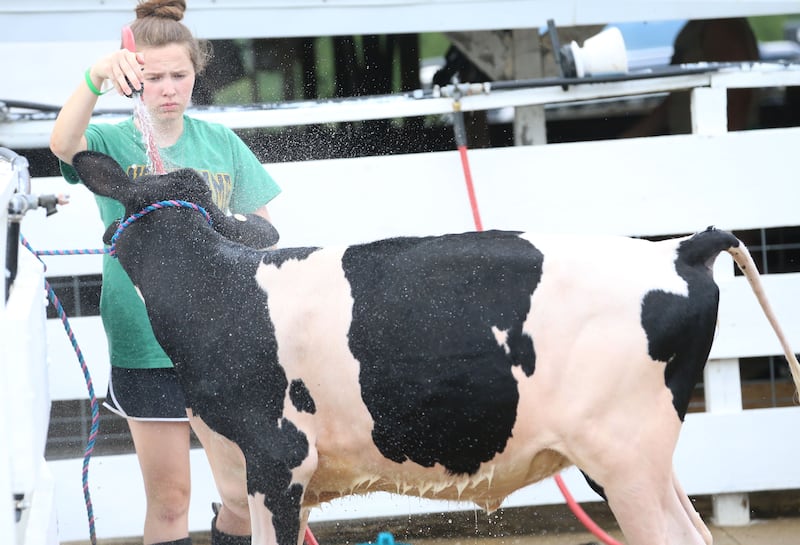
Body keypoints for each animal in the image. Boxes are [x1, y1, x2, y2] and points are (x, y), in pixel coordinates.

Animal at [71, 150, 800, 545]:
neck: (219, 294)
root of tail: (677, 248)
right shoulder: (237, 466)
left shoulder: (278, 460)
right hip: (646, 456)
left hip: (621, 456)